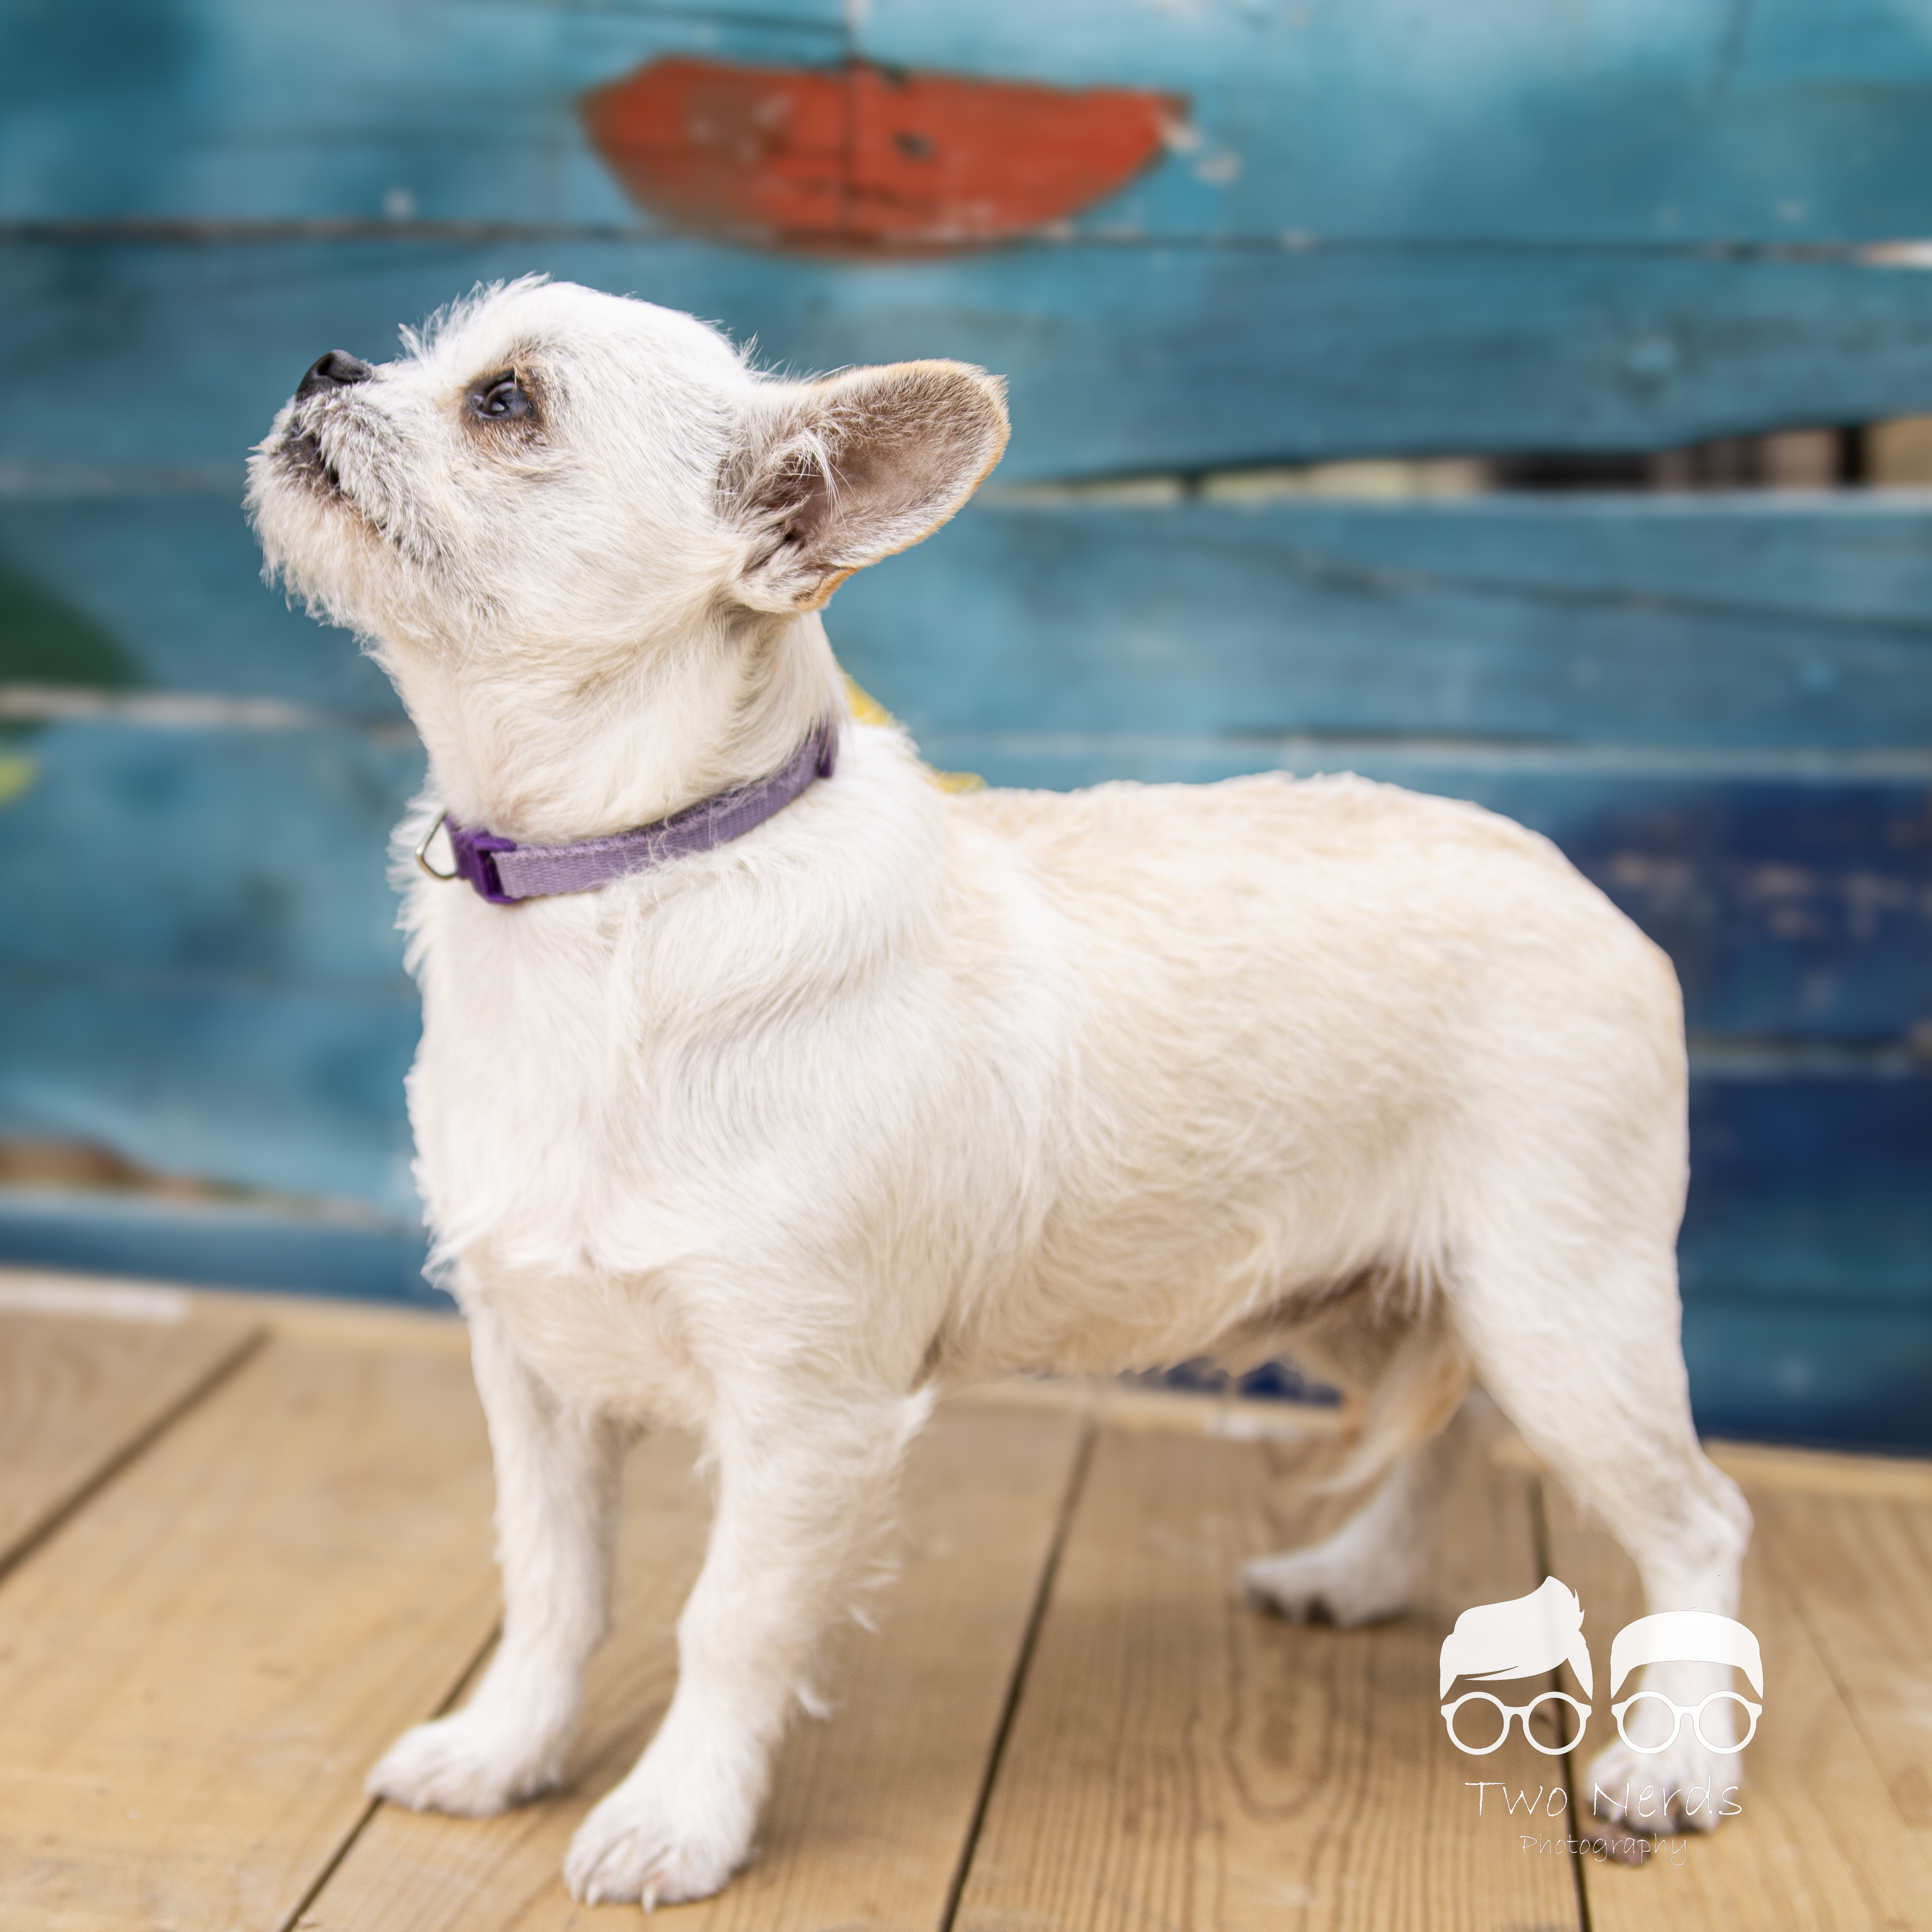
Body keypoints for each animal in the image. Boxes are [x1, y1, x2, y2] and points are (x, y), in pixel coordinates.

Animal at [249, 280, 1762, 1909]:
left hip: (1558, 1321)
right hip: (1386, 1298)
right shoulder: (533, 1371)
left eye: (507, 403)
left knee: (1695, 1519)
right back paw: (1355, 1573)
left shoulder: (807, 1415)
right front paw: (506, 1749)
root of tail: (1592, 894)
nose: (324, 364)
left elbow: (729, 1623)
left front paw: (680, 1816)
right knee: (1446, 1431)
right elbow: (548, 1585)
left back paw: (1674, 1759)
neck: (621, 891)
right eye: (427, 350)